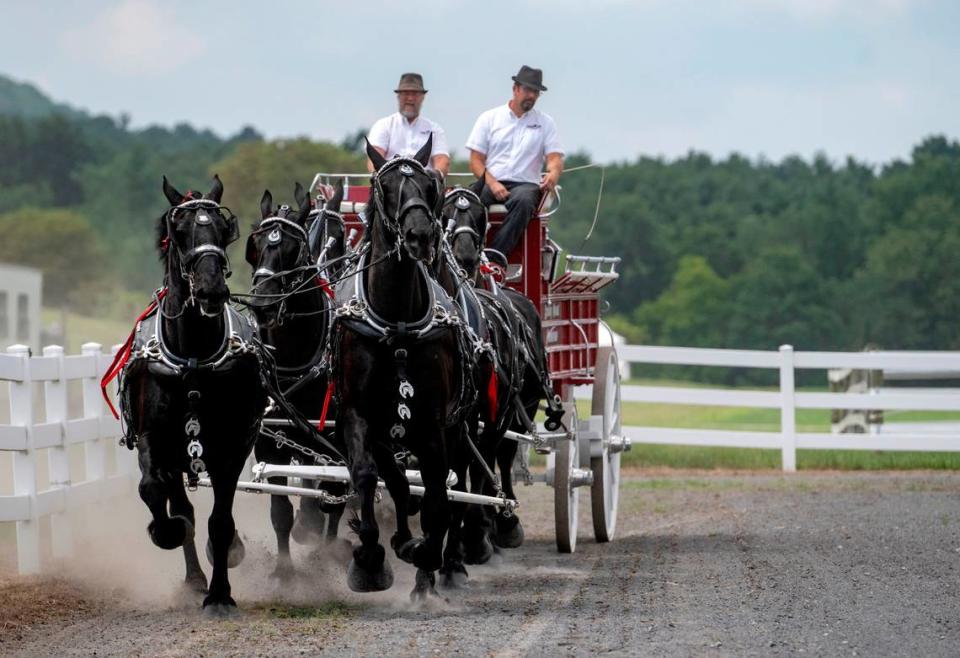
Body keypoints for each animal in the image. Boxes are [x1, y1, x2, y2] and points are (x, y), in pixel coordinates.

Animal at [122, 177, 270, 612]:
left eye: (223, 231)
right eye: (179, 231)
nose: (210, 290)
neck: (193, 358)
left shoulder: (232, 446)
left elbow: (220, 522)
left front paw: (220, 594)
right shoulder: (154, 440)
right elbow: (154, 491)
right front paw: (167, 532)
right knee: (180, 503)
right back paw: (191, 575)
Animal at [246, 179, 350, 576]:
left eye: (293, 250)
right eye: (255, 246)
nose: (263, 304)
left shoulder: (337, 438)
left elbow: (334, 495)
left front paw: (329, 553)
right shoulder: (270, 439)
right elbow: (280, 509)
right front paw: (285, 571)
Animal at [334, 140, 472, 600]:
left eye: (430, 185)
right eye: (385, 186)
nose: (419, 235)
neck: (395, 323)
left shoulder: (433, 424)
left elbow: (437, 497)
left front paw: (424, 555)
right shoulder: (357, 415)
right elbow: (366, 476)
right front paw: (370, 557)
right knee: (392, 480)